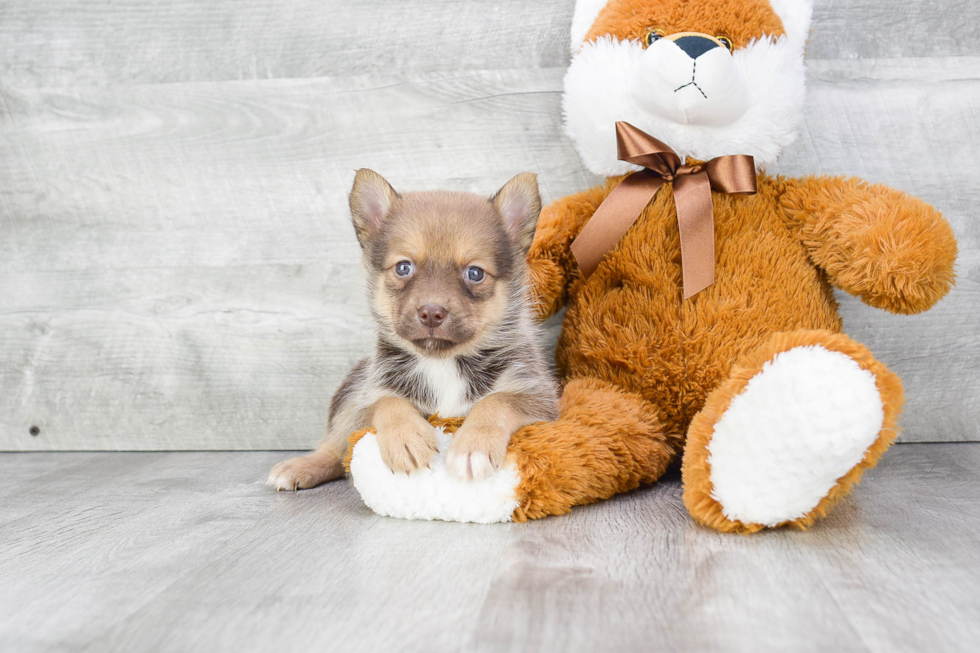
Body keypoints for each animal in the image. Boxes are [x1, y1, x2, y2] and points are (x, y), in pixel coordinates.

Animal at [268, 169, 560, 488]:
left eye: (475, 273)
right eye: (403, 267)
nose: (431, 313)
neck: (441, 363)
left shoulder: (538, 397)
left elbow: (497, 402)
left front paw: (473, 446)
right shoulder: (369, 396)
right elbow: (388, 403)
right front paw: (405, 439)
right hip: (352, 390)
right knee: (334, 446)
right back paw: (301, 467)